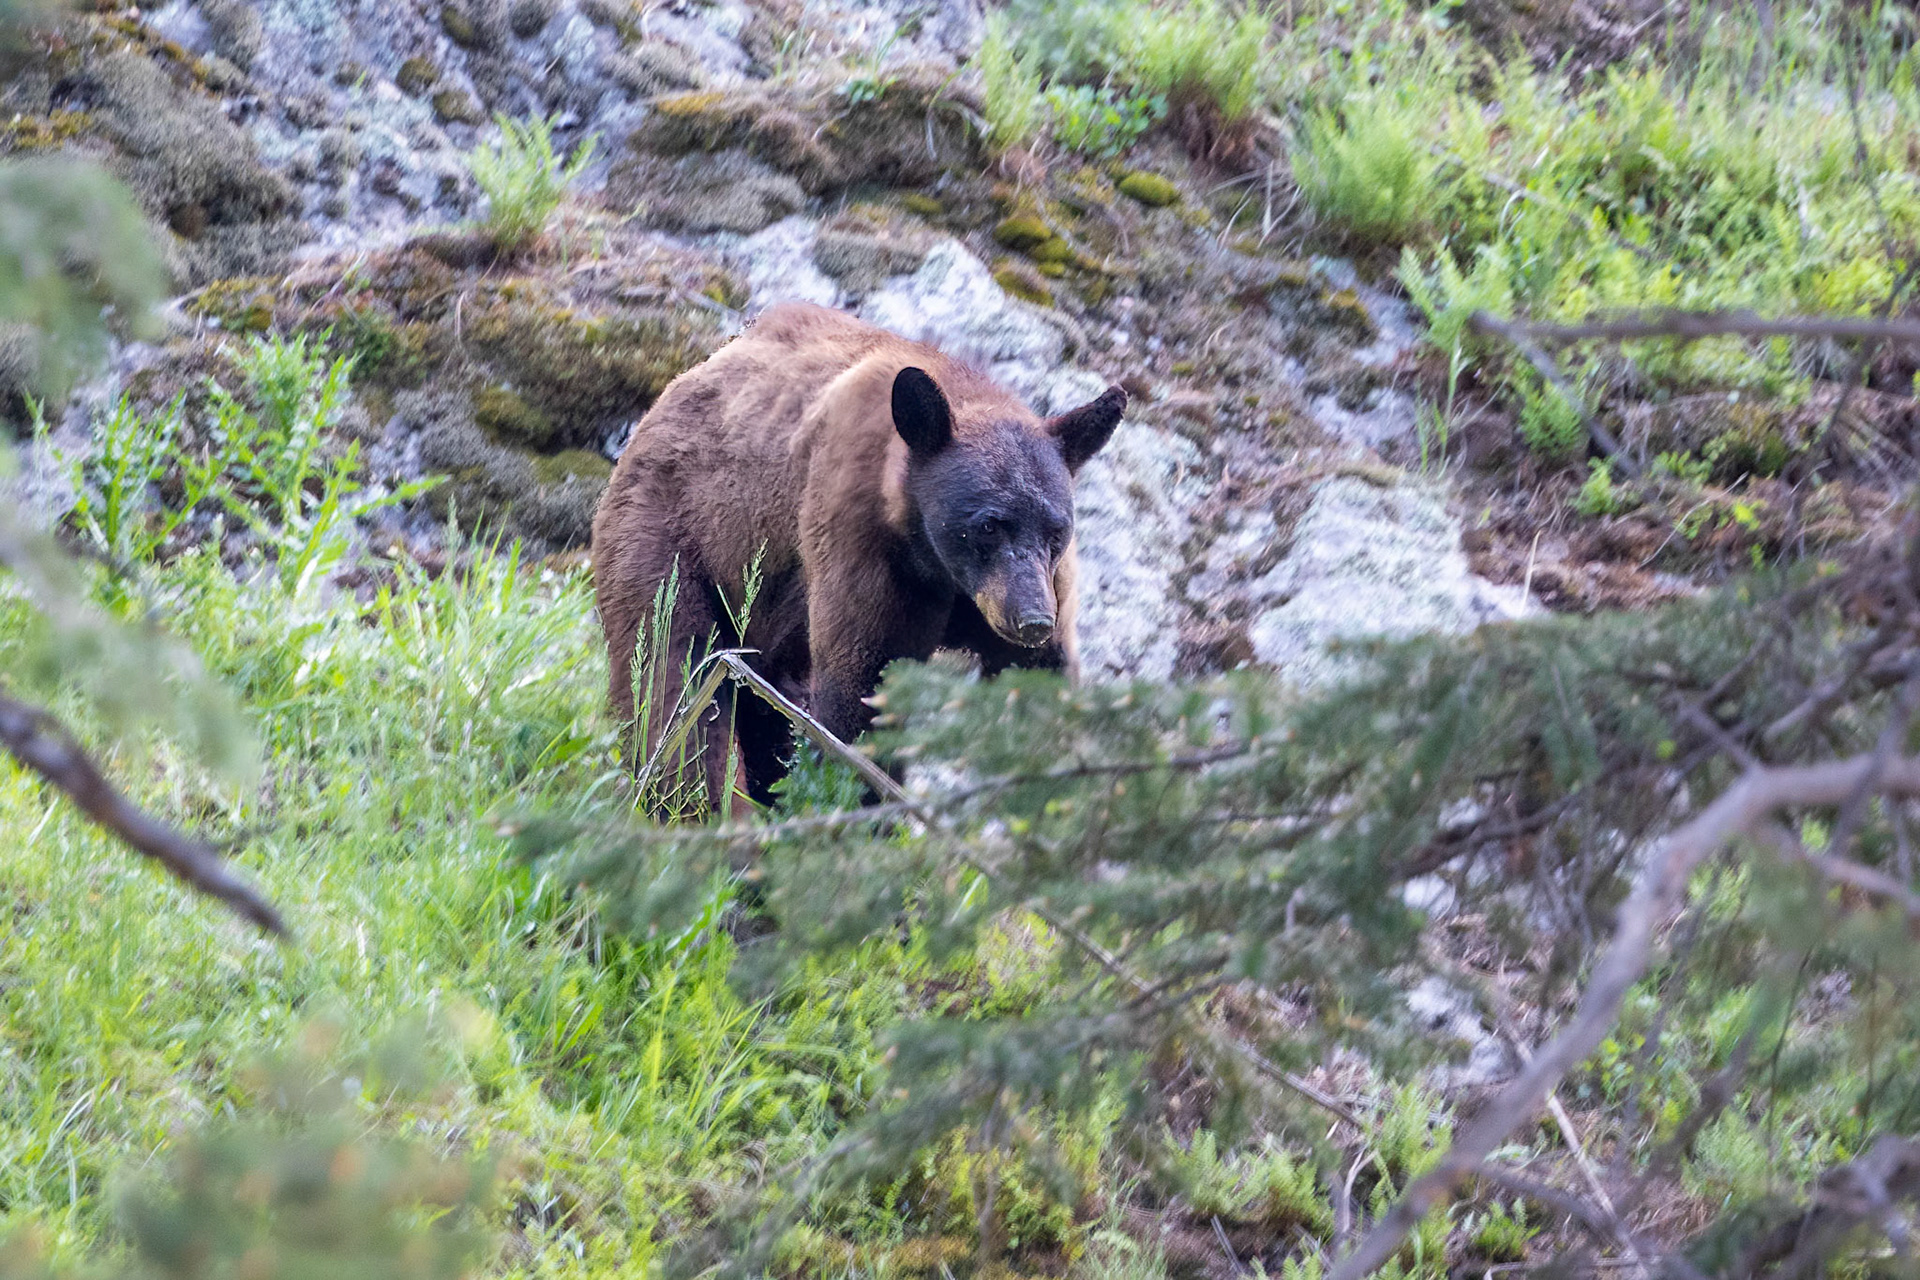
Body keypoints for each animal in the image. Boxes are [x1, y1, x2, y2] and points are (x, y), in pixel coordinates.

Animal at [590, 301, 1127, 814]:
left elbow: (1040, 683)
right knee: (671, 677)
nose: (1032, 618)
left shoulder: (1032, 590)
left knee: (767, 709)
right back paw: (682, 807)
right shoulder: (862, 544)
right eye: (988, 524)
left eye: (1057, 529)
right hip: (672, 535)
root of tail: (670, 393)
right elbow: (862, 686)